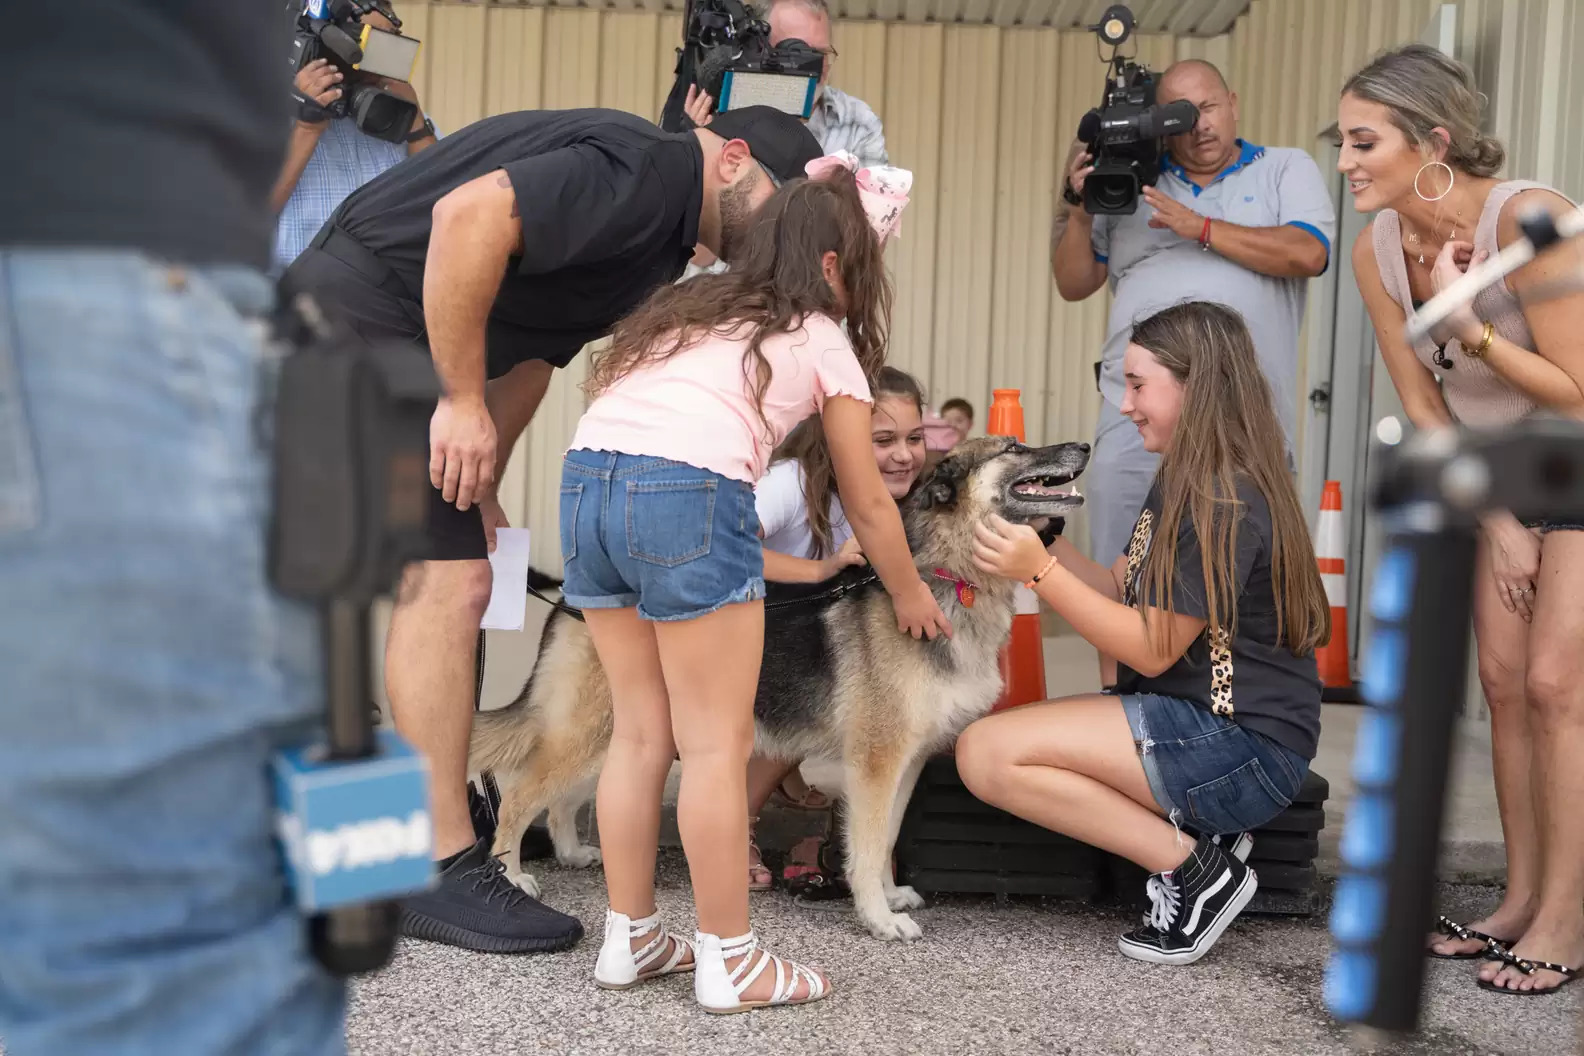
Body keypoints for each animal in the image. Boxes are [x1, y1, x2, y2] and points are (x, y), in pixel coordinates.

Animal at [465, 436, 1089, 943]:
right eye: (1013, 446)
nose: (1083, 445)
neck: (947, 575)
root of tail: (571, 599)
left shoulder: (907, 764)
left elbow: (886, 838)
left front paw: (889, 897)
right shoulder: (876, 764)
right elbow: (866, 847)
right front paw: (878, 918)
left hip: (617, 737)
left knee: (563, 799)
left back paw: (572, 852)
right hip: (592, 733)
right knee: (520, 797)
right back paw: (511, 875)